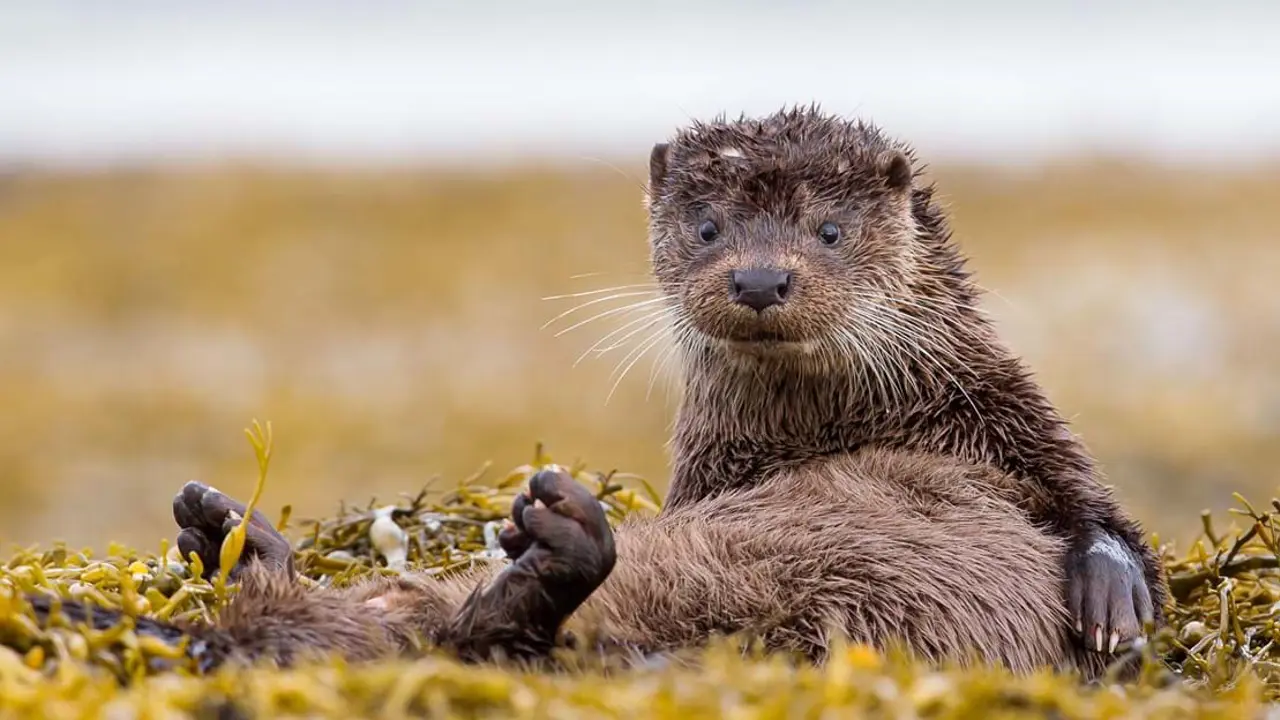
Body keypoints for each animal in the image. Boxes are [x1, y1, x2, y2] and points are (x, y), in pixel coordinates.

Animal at [17, 106, 1162, 676]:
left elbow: (1099, 511)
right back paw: (235, 534)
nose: (758, 276)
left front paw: (1109, 598)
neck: (856, 420)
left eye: (829, 229)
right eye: (706, 226)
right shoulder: (708, 477)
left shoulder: (1006, 414)